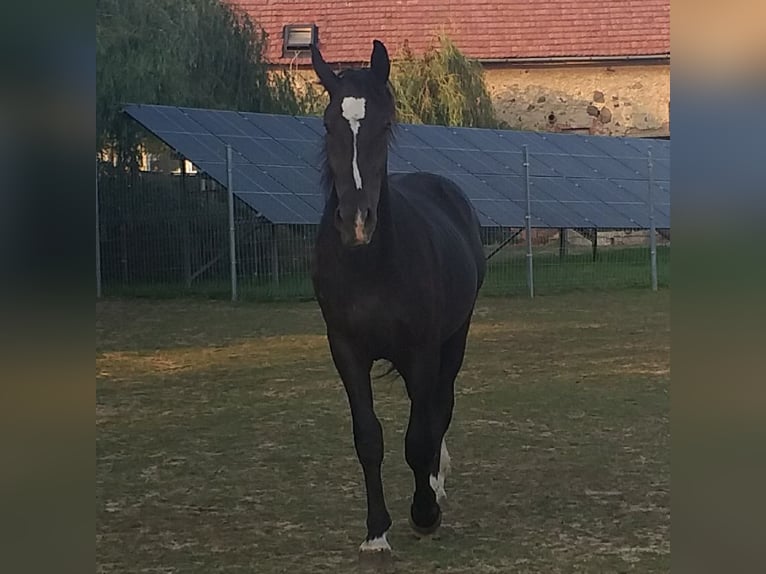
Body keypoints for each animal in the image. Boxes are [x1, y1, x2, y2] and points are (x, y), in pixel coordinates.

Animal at [310, 38, 486, 556]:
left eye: (384, 124)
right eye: (327, 124)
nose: (355, 222)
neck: (371, 268)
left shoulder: (421, 351)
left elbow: (419, 435)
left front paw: (424, 513)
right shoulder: (346, 351)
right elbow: (369, 437)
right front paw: (376, 533)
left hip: (453, 340)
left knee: (439, 408)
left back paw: (434, 485)